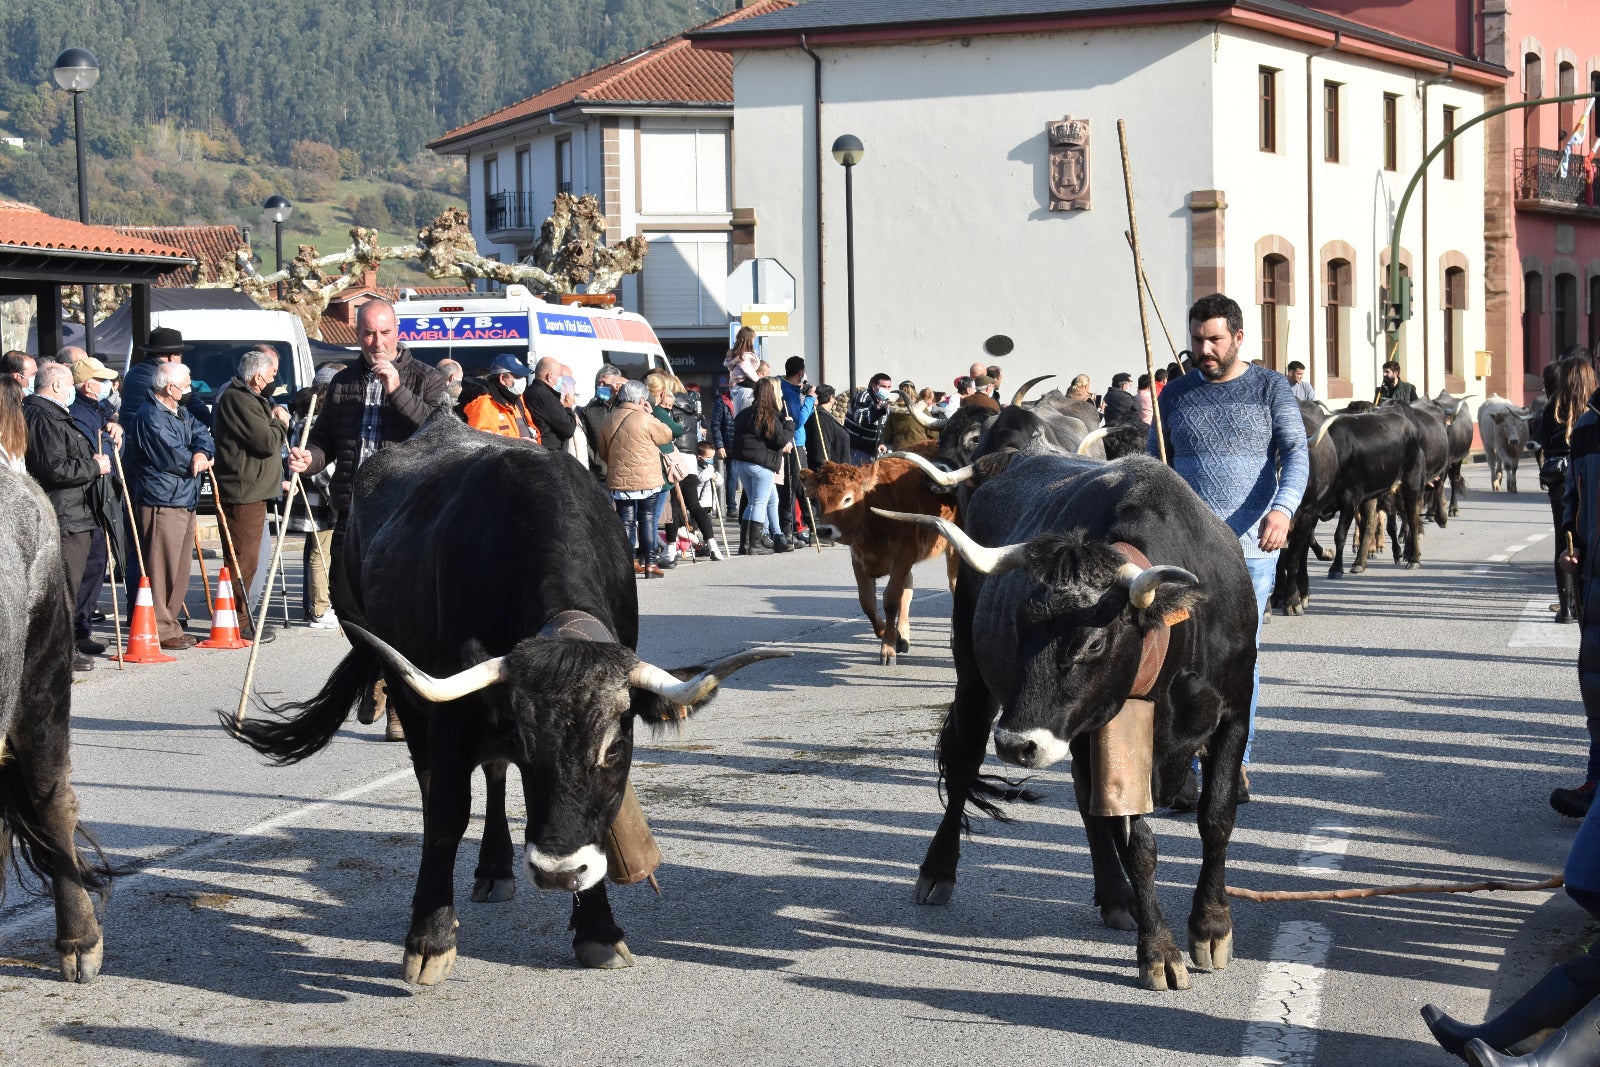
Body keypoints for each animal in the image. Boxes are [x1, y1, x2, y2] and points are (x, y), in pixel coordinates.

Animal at [230, 415, 780, 985]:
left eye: (614, 748)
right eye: (530, 745)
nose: (559, 872)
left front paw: (598, 929)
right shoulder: (454, 708)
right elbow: (447, 815)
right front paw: (429, 939)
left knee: (493, 772)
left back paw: (495, 867)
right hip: (406, 688)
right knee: (433, 783)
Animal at [806, 454, 953, 662]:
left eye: (847, 499)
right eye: (817, 499)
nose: (823, 530)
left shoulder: (902, 558)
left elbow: (891, 601)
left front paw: (888, 647)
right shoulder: (859, 560)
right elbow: (867, 602)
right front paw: (893, 636)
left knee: (954, 585)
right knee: (907, 591)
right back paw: (904, 636)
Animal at [876, 447, 1260, 991]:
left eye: (1093, 643)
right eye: (1017, 624)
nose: (1016, 744)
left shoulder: (1234, 714)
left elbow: (1217, 816)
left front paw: (1211, 925)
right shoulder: (1113, 737)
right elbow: (1139, 843)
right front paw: (1159, 951)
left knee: (1083, 800)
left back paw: (1116, 897)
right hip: (974, 684)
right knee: (964, 764)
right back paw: (938, 870)